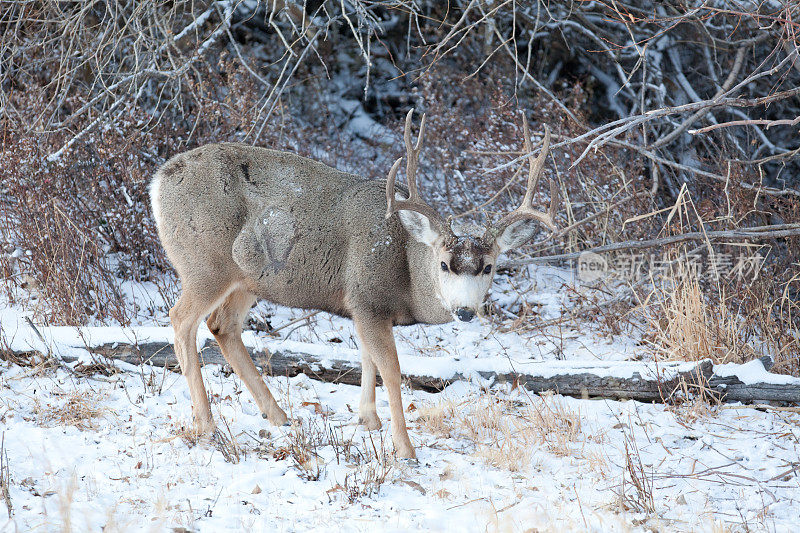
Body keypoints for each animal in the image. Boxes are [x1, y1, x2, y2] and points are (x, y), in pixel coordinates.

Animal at [150, 108, 560, 458]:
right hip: (204, 264)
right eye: (444, 264)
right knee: (181, 319)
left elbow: (366, 358)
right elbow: (390, 370)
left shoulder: (360, 305)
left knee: (222, 325)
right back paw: (207, 426)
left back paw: (279, 416)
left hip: (246, 280)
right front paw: (404, 448)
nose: (465, 311)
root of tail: (158, 182)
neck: (405, 268)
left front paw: (368, 420)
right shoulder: (367, 296)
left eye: (489, 267)